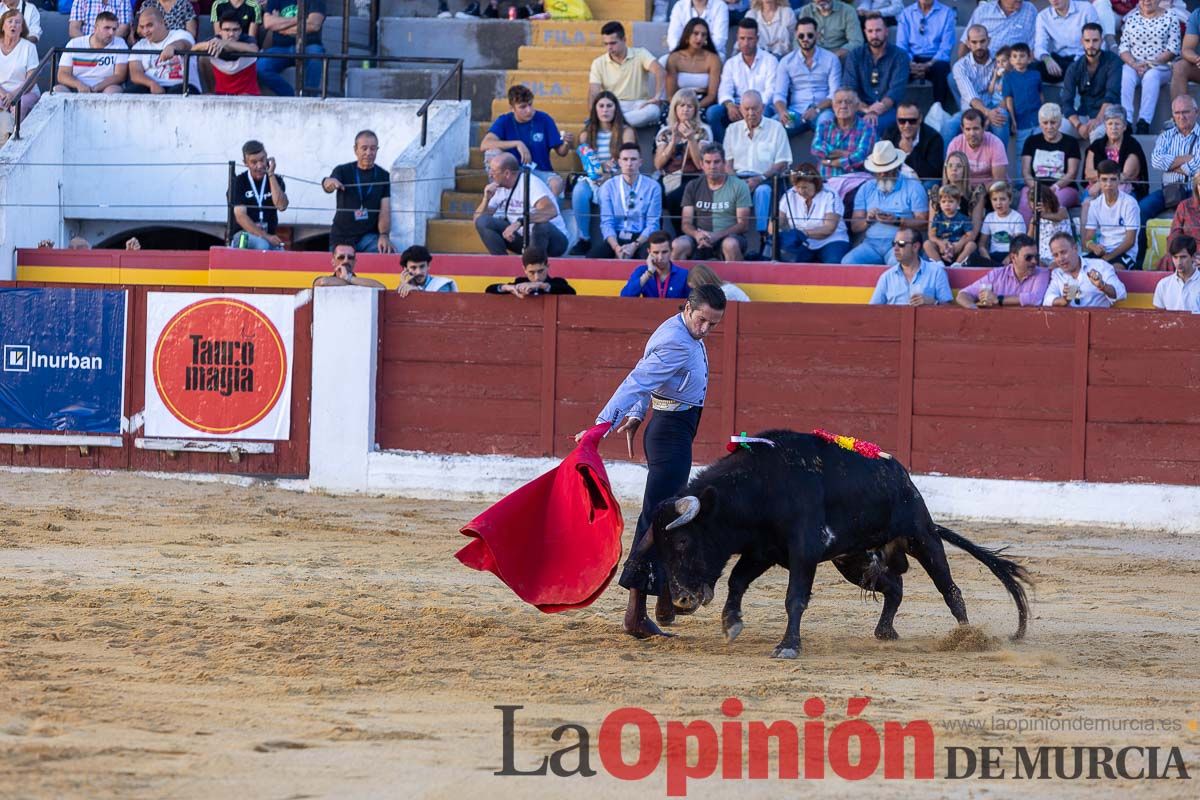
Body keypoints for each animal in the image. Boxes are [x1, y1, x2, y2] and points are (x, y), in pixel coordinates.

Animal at [638, 431, 1032, 657]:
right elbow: (736, 581)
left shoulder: (803, 552)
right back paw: (885, 631)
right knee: (895, 587)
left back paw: (967, 638)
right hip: (853, 560)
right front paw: (731, 622)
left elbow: (794, 598)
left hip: (922, 536)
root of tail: (902, 476)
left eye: (683, 541)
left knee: (950, 589)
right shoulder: (763, 551)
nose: (681, 600)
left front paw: (788, 646)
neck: (763, 485)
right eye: (660, 549)